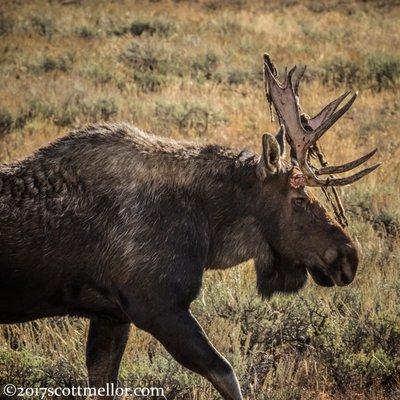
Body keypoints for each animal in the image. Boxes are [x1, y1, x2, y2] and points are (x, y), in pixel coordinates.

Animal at [0, 54, 380, 400]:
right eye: (299, 199)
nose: (349, 257)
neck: (209, 228)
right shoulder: (158, 307)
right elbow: (227, 375)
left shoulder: (111, 315)